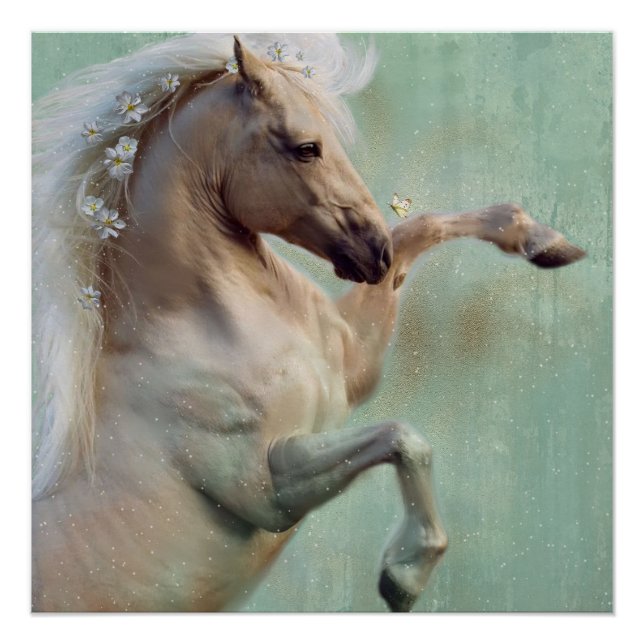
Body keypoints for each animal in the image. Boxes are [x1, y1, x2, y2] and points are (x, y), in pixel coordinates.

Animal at [32, 33, 585, 612]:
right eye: (306, 147)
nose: (375, 254)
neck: (204, 329)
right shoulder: (269, 494)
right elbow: (402, 437)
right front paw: (405, 573)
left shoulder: (352, 371)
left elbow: (422, 225)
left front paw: (546, 242)